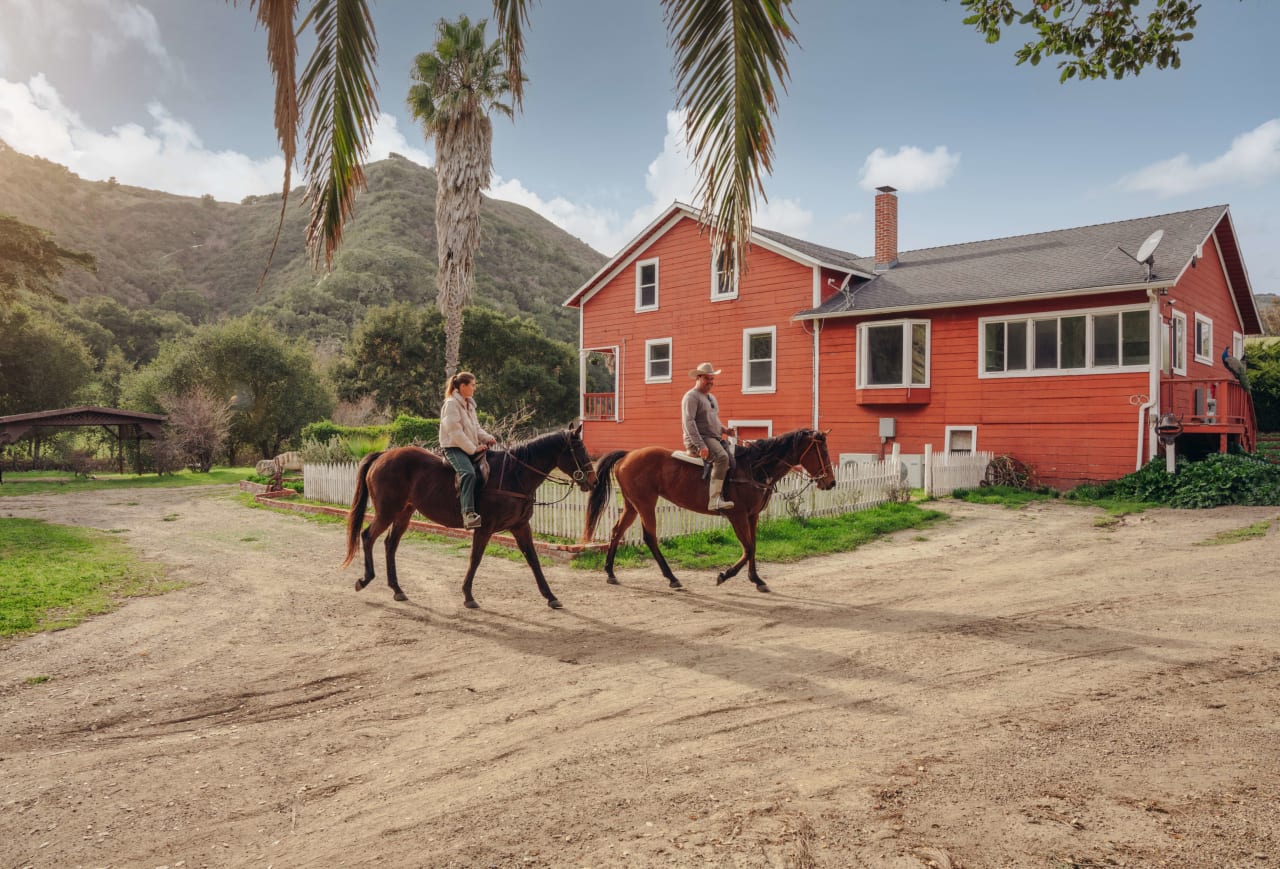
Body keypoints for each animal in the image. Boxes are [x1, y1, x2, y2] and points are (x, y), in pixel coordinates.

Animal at [343, 424, 596, 609]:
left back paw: (397, 589)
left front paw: (550, 596)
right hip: (387, 512)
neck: (514, 475)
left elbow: (533, 559)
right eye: (579, 450)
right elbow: (475, 559)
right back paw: (365, 579)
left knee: (390, 545)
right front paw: (468, 595)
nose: (593, 481)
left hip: (403, 514)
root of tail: (383, 455)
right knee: (368, 537)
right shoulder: (484, 528)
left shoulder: (521, 526)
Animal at [583, 430, 839, 593]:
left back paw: (610, 572)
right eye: (822, 452)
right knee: (650, 537)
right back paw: (672, 578)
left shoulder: (752, 516)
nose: (831, 482)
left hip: (632, 505)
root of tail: (628, 455)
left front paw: (756, 579)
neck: (754, 467)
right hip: (645, 504)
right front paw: (724, 575)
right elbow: (748, 548)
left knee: (617, 532)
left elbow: (753, 547)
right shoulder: (737, 516)